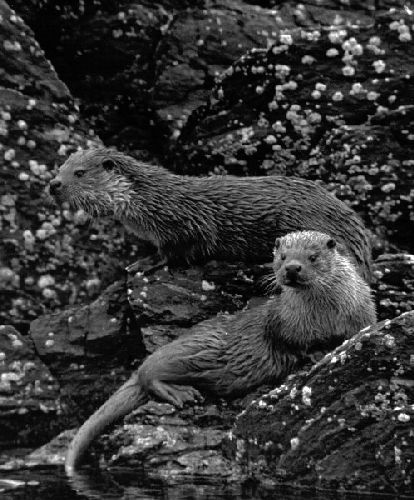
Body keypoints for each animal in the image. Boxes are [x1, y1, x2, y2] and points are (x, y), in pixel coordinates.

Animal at [48, 147, 372, 282]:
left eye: (78, 173)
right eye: (60, 167)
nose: (53, 185)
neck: (149, 201)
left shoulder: (187, 222)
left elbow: (181, 248)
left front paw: (143, 263)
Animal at [64, 230, 376, 472]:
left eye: (312, 257)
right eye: (282, 257)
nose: (292, 269)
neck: (323, 316)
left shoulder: (362, 313)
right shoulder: (282, 323)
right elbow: (289, 343)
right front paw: (313, 354)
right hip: (195, 350)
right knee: (145, 371)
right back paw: (179, 392)